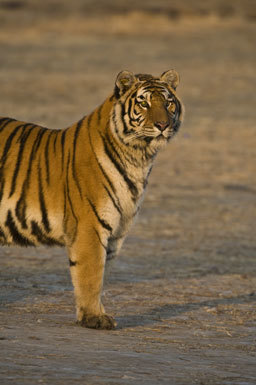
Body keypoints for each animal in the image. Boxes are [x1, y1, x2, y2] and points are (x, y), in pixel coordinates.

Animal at [0, 69, 184, 328]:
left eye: (168, 103)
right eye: (144, 103)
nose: (162, 124)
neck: (139, 157)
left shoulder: (118, 229)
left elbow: (100, 275)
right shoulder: (90, 225)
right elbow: (91, 274)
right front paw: (94, 318)